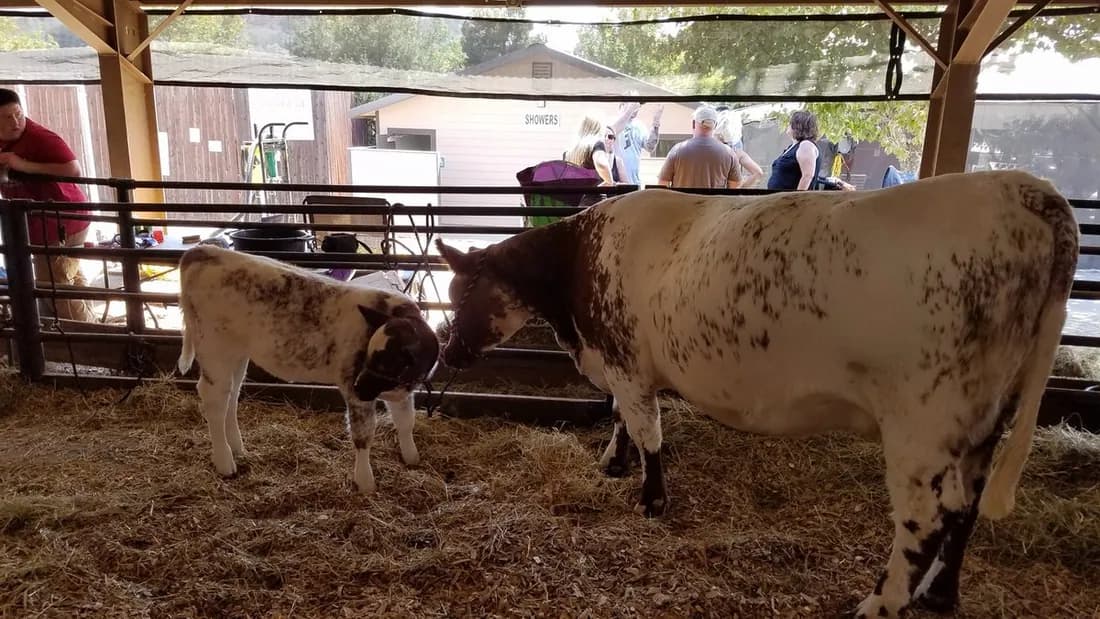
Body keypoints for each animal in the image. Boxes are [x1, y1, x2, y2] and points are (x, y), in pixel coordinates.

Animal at [177, 244, 439, 494]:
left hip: (236, 354)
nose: (358, 385)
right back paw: (224, 461)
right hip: (213, 348)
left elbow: (406, 422)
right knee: (214, 399)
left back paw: (237, 448)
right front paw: (365, 482)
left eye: (389, 363)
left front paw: (412, 457)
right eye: (369, 357)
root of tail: (204, 251)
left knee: (231, 396)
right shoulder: (354, 389)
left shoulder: (398, 392)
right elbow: (363, 436)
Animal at [435, 170, 1078, 618]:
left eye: (462, 292)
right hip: (985, 416)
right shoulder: (622, 367)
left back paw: (880, 603)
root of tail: (1021, 187)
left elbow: (647, 431)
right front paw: (613, 463)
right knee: (965, 509)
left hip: (921, 425)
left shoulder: (625, 361)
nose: (446, 354)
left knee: (924, 523)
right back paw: (941, 594)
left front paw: (651, 499)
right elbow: (622, 419)